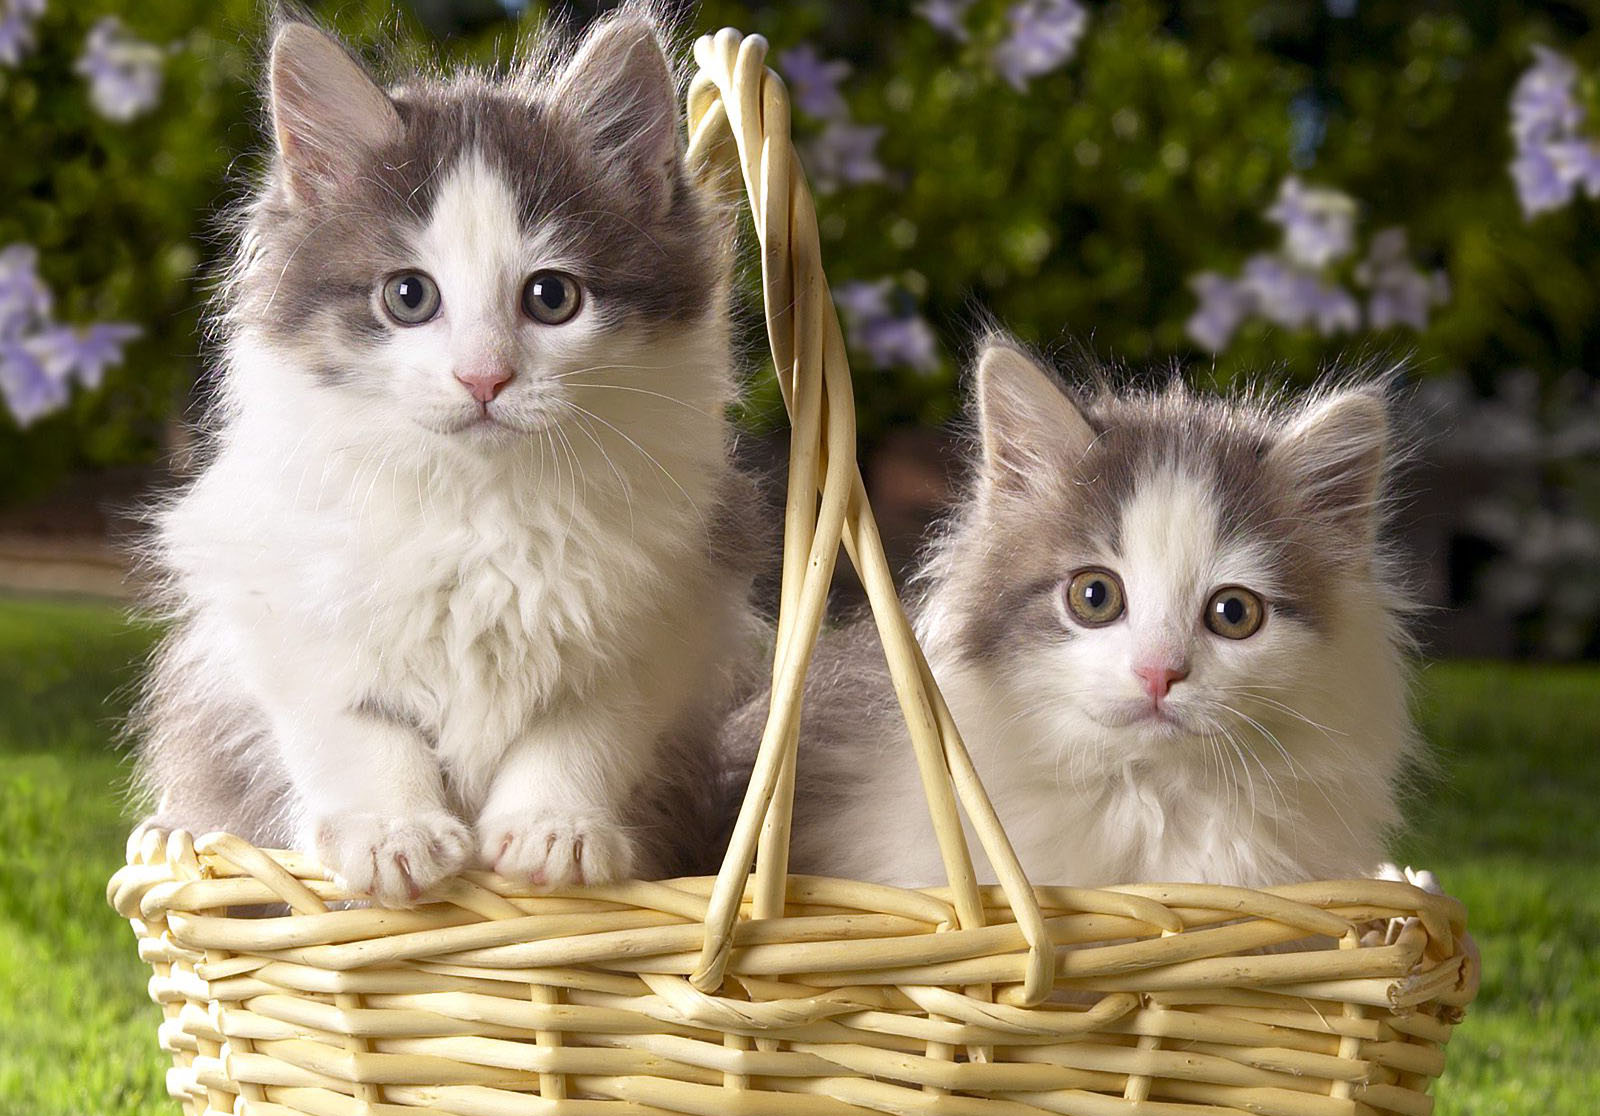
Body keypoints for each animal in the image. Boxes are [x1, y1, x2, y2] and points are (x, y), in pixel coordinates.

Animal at [137, 10, 761, 901]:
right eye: (409, 296)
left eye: (552, 296)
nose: (483, 377)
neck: (482, 504)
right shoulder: (280, 609)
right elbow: (356, 725)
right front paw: (390, 833)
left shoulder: (663, 617)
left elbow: (582, 730)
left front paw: (554, 831)